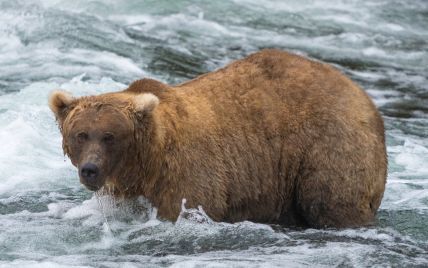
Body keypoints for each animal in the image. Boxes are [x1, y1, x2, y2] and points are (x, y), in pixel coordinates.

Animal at [49, 49, 388, 227]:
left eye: (110, 136)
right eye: (81, 135)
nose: (90, 169)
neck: (147, 163)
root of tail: (365, 98)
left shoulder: (188, 175)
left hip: (329, 145)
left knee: (329, 200)